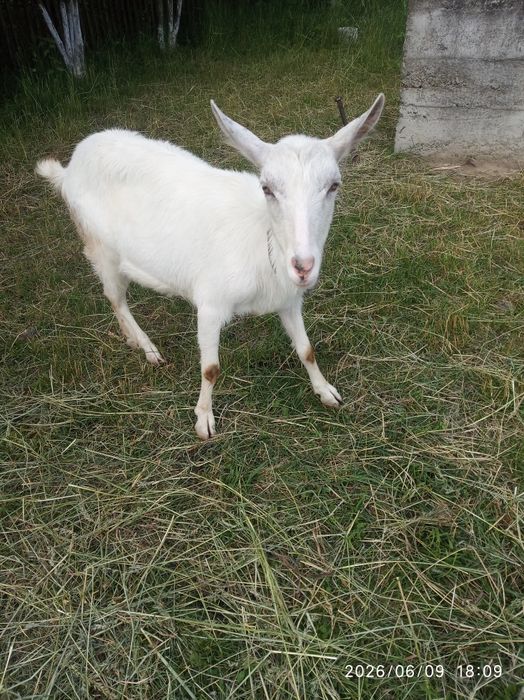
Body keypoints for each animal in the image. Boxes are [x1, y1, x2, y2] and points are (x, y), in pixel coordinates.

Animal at [36, 94, 384, 439]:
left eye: (334, 185)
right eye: (267, 188)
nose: (303, 266)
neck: (261, 241)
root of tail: (69, 167)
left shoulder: (288, 300)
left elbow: (306, 350)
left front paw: (326, 391)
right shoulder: (210, 302)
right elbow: (210, 368)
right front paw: (204, 420)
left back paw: (133, 340)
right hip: (99, 247)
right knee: (115, 298)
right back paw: (148, 349)